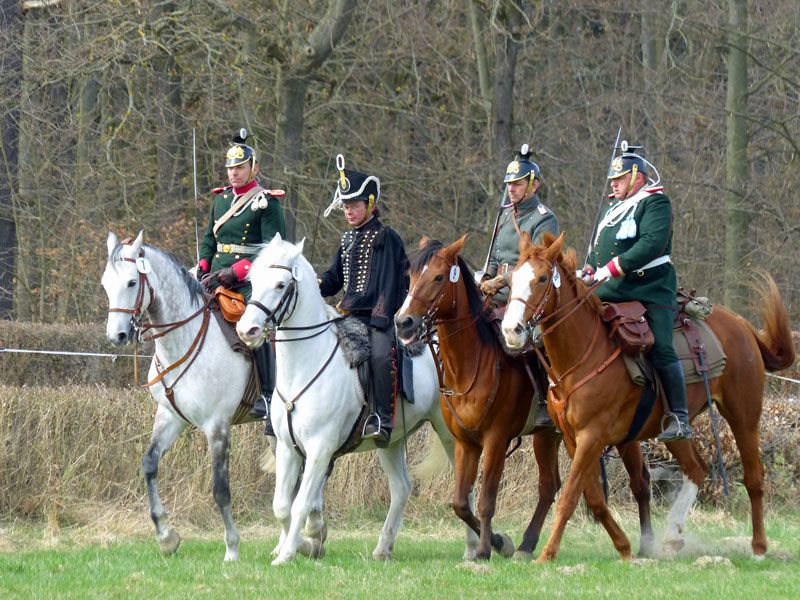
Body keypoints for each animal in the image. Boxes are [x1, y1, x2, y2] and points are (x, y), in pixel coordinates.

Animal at [101, 231, 250, 564]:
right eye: (105, 283)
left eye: (132, 282)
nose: (117, 336)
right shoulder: (170, 416)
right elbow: (149, 464)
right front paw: (166, 536)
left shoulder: (217, 426)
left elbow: (220, 489)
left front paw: (232, 547)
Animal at [238, 233, 476, 564]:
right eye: (253, 279)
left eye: (281, 285)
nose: (246, 329)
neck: (307, 362)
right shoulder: (287, 447)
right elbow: (282, 506)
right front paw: (305, 543)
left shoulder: (320, 449)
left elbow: (301, 503)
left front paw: (291, 551)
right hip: (391, 440)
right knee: (401, 488)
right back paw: (383, 548)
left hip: (449, 434)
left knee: (465, 486)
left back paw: (473, 549)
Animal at [394, 237, 656, 560]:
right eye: (411, 276)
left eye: (439, 277)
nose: (403, 322)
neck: (474, 361)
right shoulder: (465, 442)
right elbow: (460, 503)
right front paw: (498, 542)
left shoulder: (496, 439)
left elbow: (486, 499)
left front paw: (486, 549)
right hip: (548, 436)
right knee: (550, 486)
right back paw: (527, 544)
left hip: (618, 435)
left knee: (639, 483)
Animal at [504, 232, 796, 560]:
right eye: (512, 278)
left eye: (542, 278)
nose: (511, 330)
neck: (582, 354)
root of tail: (742, 324)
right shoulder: (572, 438)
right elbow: (594, 498)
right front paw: (624, 546)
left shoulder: (592, 436)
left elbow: (569, 496)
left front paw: (547, 554)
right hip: (674, 431)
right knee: (697, 469)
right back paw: (671, 535)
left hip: (743, 416)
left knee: (754, 477)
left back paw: (758, 547)